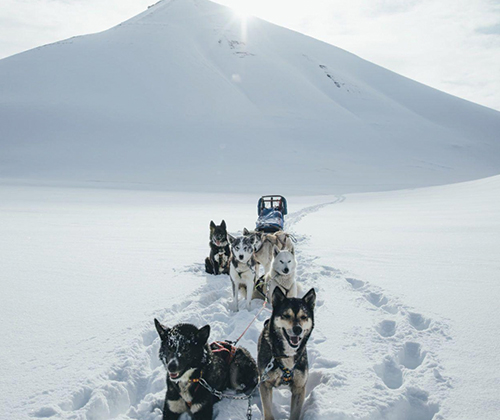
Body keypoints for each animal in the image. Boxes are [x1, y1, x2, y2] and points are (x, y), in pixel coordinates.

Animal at [258, 288, 316, 420]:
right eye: (286, 315)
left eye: (304, 317)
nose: (298, 329)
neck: (287, 355)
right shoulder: (265, 384)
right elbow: (268, 412)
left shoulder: (299, 388)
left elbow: (295, 414)